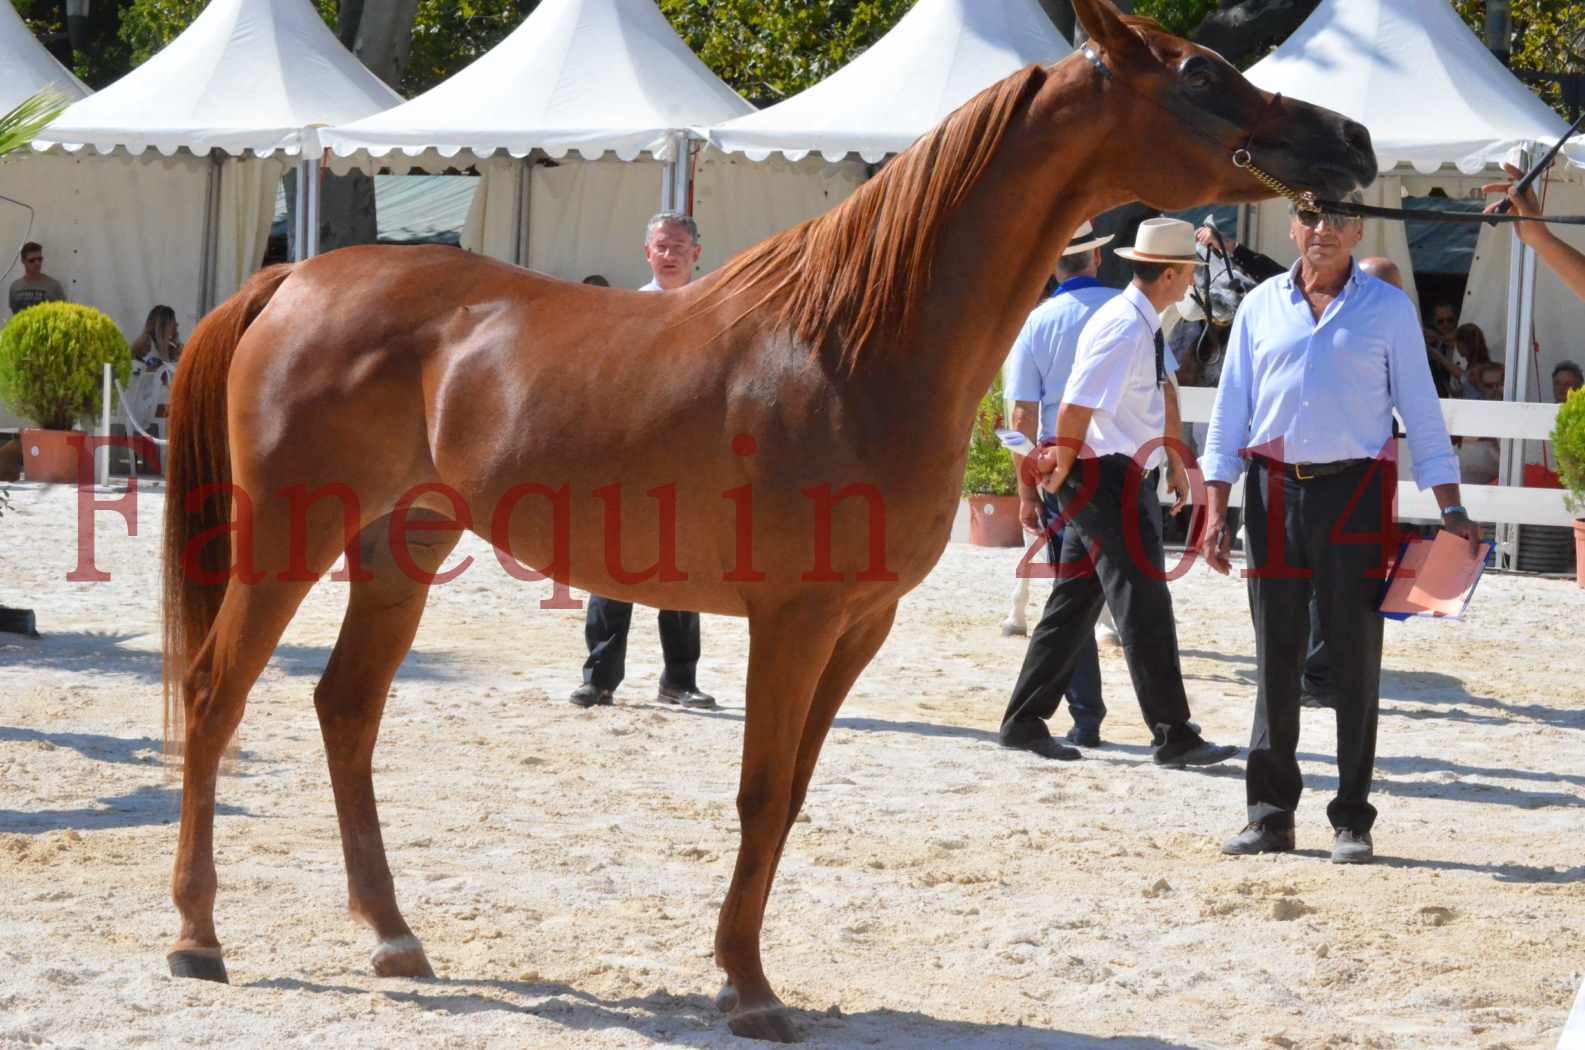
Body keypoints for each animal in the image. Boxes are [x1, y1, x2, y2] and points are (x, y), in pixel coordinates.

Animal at [157, 0, 1375, 1034]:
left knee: (345, 710)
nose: (1352, 139)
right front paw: (746, 991)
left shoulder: (857, 627)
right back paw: (197, 938)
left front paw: (742, 969)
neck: (853, 348)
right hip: (288, 540)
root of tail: (291, 283)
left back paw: (393, 937)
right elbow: (756, 793)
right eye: (1200, 72)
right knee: (216, 696)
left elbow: (788, 798)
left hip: (400, 547)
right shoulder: (790, 622)